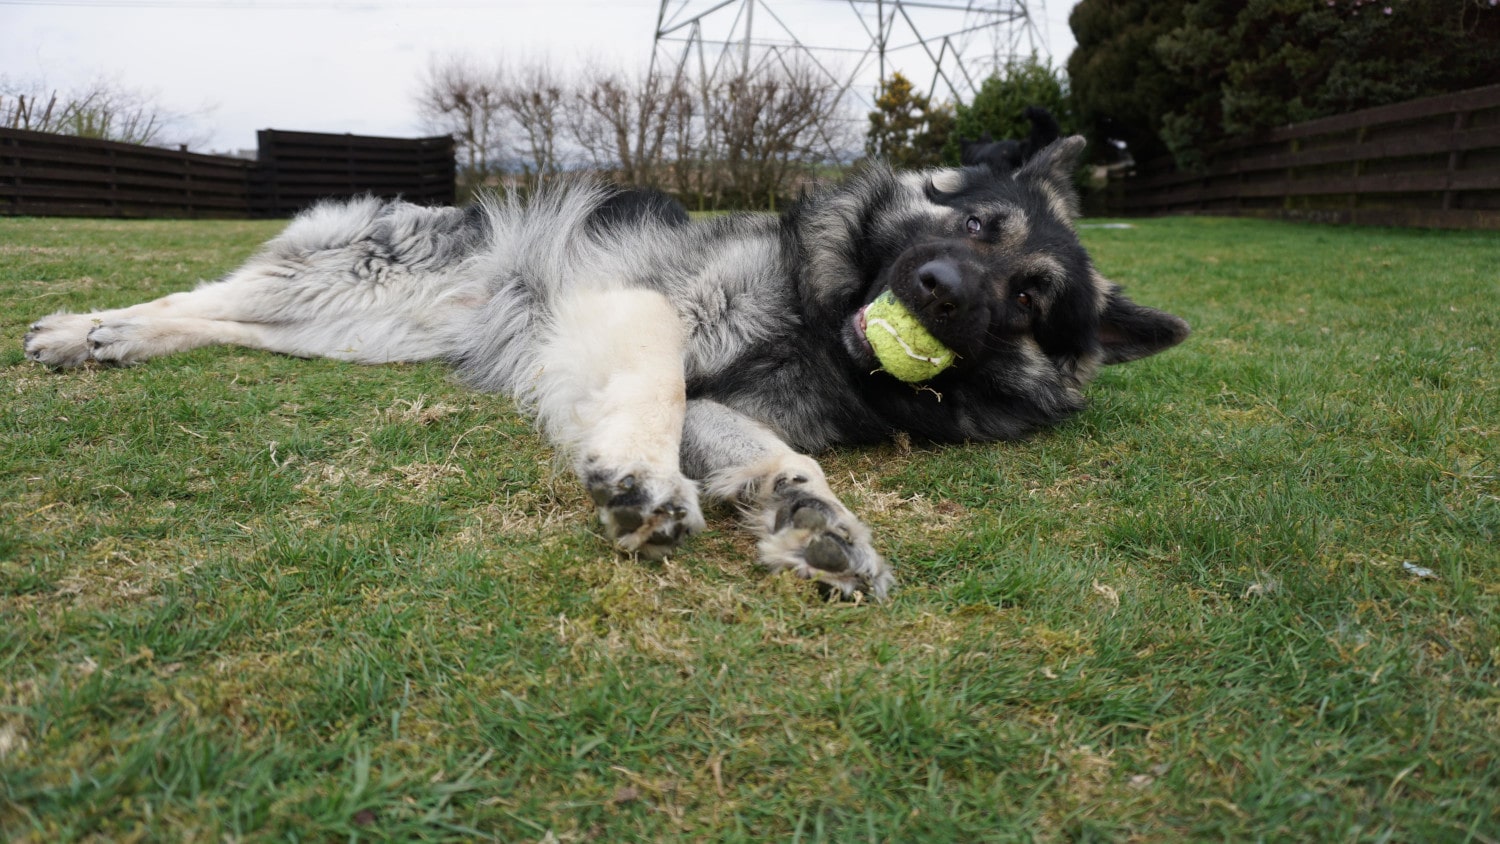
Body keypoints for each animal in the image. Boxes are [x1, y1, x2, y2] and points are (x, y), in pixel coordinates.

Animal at [23, 135, 1188, 599]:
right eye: (979, 222)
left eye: (1031, 293)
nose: (941, 288)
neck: (815, 321)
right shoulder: (643, 311)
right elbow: (661, 390)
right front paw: (646, 482)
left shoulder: (740, 407)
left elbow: (775, 456)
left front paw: (814, 520)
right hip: (352, 281)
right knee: (202, 300)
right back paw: (91, 329)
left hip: (357, 327)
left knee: (239, 327)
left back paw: (114, 341)